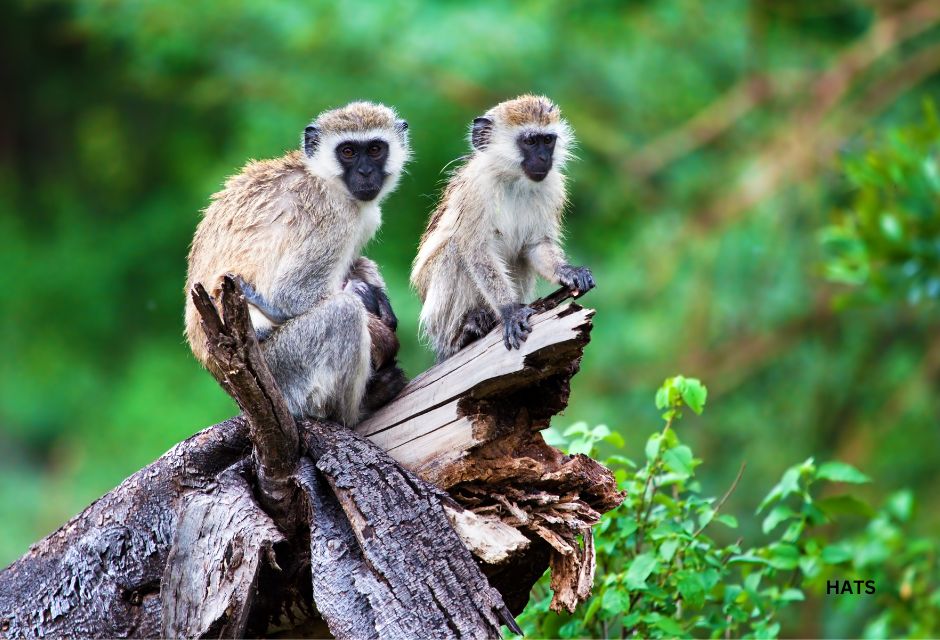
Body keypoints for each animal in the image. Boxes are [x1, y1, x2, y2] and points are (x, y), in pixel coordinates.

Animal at [185, 100, 410, 424]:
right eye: (348, 152)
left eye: (375, 149)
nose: (366, 172)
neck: (323, 178)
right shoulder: (333, 217)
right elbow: (291, 295)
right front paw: (374, 318)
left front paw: (378, 299)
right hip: (282, 370)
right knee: (342, 313)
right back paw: (357, 409)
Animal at [412, 95, 596, 360]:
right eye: (530, 141)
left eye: (547, 140)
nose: (544, 159)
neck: (514, 180)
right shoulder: (476, 190)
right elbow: (476, 251)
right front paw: (510, 310)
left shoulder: (552, 187)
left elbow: (536, 245)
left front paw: (567, 271)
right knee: (454, 251)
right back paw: (463, 331)